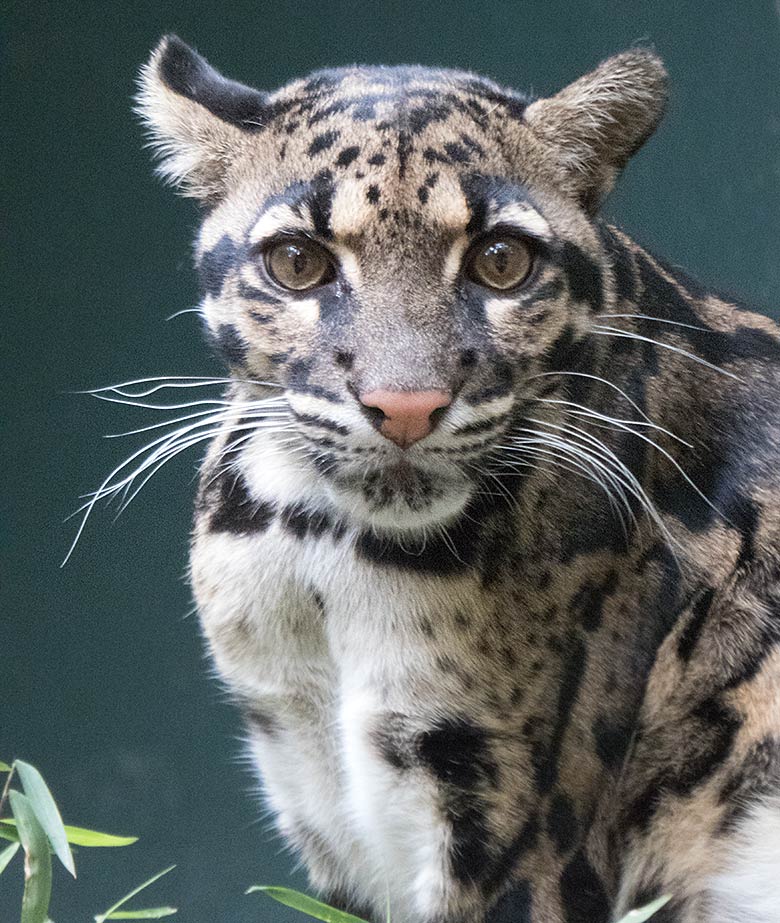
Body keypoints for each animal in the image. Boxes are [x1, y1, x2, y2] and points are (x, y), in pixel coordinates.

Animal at [126, 36, 780, 923]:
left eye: (501, 262)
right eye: (297, 262)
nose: (405, 405)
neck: (319, 557)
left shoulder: (521, 834)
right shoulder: (314, 776)